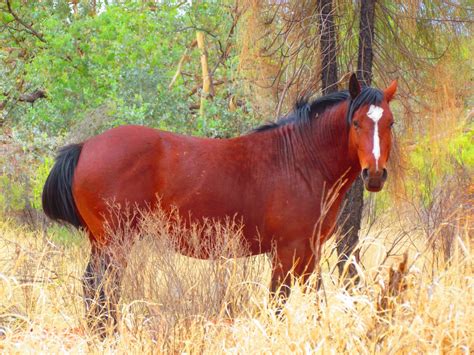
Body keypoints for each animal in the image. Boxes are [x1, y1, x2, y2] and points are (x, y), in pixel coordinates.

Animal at [42, 73, 396, 332]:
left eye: (389, 123)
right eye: (356, 123)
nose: (375, 175)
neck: (300, 159)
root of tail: (85, 147)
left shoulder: (309, 251)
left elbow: (315, 299)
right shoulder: (287, 252)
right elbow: (278, 302)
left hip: (102, 243)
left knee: (94, 288)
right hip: (115, 242)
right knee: (102, 288)